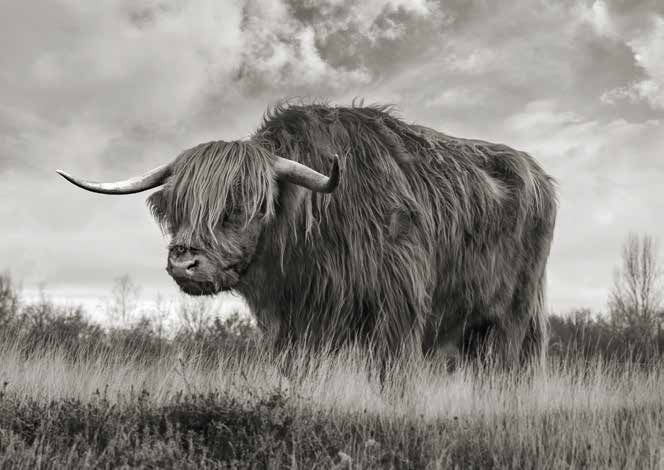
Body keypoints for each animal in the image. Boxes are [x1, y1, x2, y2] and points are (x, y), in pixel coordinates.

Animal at [58, 103, 557, 369]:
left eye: (241, 206)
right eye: (176, 208)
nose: (184, 263)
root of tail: (538, 173)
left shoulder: (400, 309)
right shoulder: (292, 324)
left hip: (515, 315)